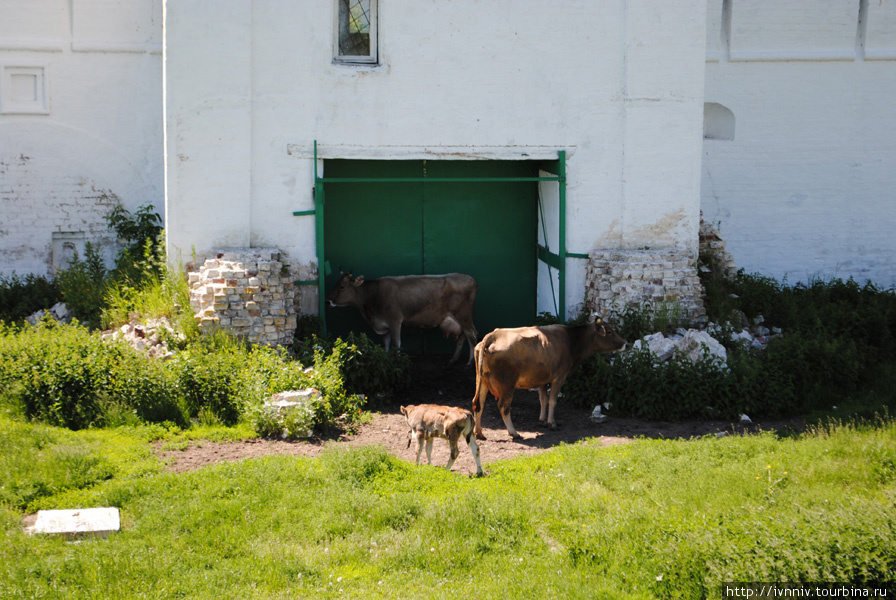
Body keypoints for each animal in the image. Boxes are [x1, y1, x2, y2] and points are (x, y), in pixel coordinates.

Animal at [328, 274, 480, 366]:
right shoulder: (384, 325)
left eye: (342, 287)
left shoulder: (395, 320)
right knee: (463, 336)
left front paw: (398, 362)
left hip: (463, 315)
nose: (328, 300)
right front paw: (386, 360)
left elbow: (396, 343)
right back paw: (454, 359)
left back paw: (471, 362)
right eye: (335, 284)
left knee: (472, 334)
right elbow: (386, 343)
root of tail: (470, 279)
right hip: (460, 318)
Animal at [472, 318, 628, 440]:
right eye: (609, 332)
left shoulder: (541, 378)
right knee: (503, 406)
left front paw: (542, 420)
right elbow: (552, 400)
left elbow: (543, 399)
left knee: (478, 404)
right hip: (507, 385)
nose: (625, 343)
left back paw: (479, 433)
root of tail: (493, 335)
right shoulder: (559, 378)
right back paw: (514, 433)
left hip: (482, 380)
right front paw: (552, 423)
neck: (571, 340)